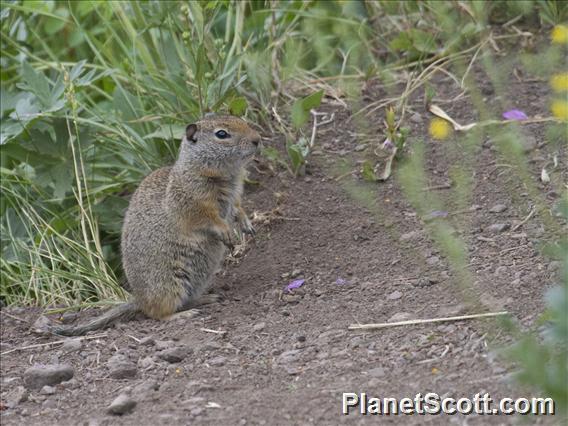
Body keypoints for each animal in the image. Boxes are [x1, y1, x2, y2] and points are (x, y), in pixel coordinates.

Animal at [52, 113, 260, 336]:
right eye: (222, 134)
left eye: (241, 120)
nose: (257, 139)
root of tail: (139, 299)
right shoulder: (193, 204)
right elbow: (209, 219)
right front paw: (227, 232)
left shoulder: (236, 195)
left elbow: (237, 208)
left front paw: (246, 224)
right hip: (169, 284)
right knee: (157, 313)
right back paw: (183, 315)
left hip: (196, 281)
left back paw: (207, 298)